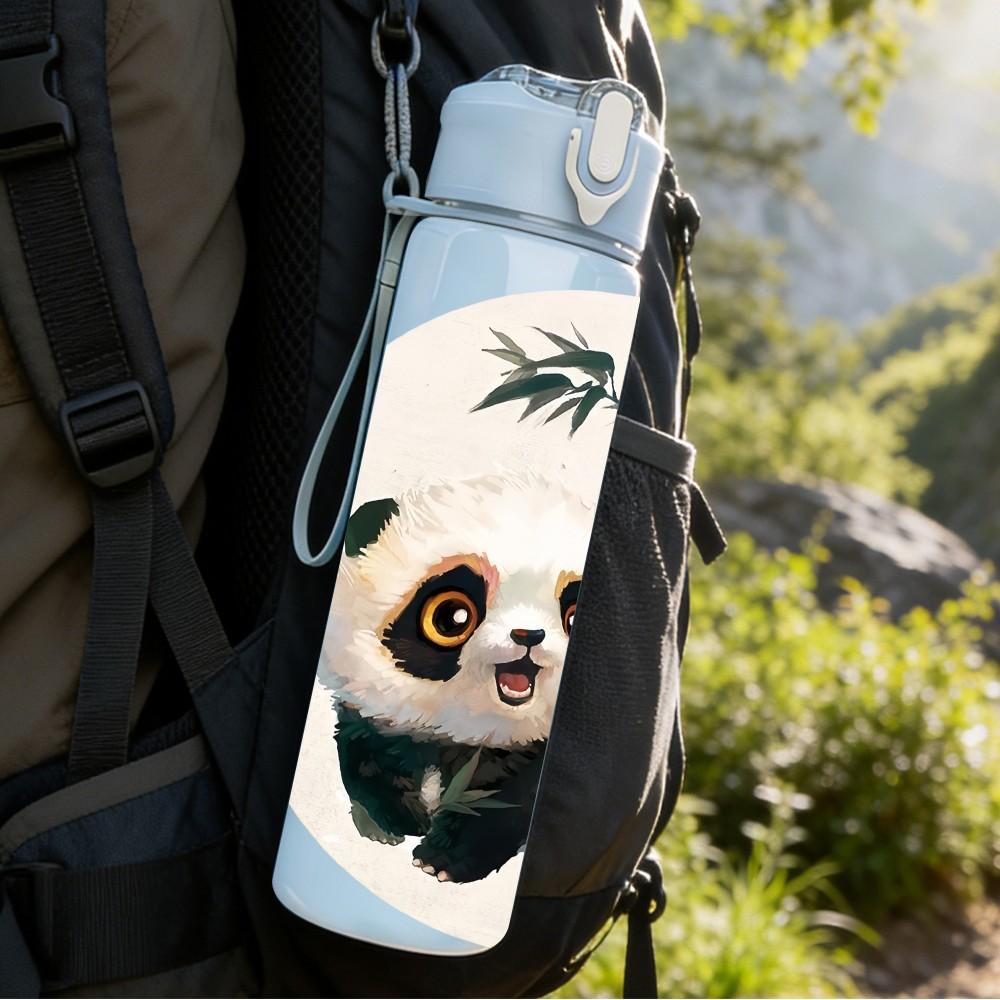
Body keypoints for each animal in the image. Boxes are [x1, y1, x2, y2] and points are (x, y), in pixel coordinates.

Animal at [319, 471, 590, 884]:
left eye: (574, 617)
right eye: (452, 616)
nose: (528, 635)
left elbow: (510, 803)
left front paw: (440, 859)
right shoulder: (373, 717)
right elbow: (364, 757)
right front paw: (391, 823)